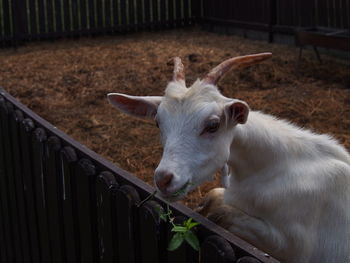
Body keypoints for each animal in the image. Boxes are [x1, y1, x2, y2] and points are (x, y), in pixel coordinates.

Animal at [107, 54, 350, 263]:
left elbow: (221, 212)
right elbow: (215, 197)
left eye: (213, 125)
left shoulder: (295, 246)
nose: (164, 179)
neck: (271, 170)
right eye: (158, 123)